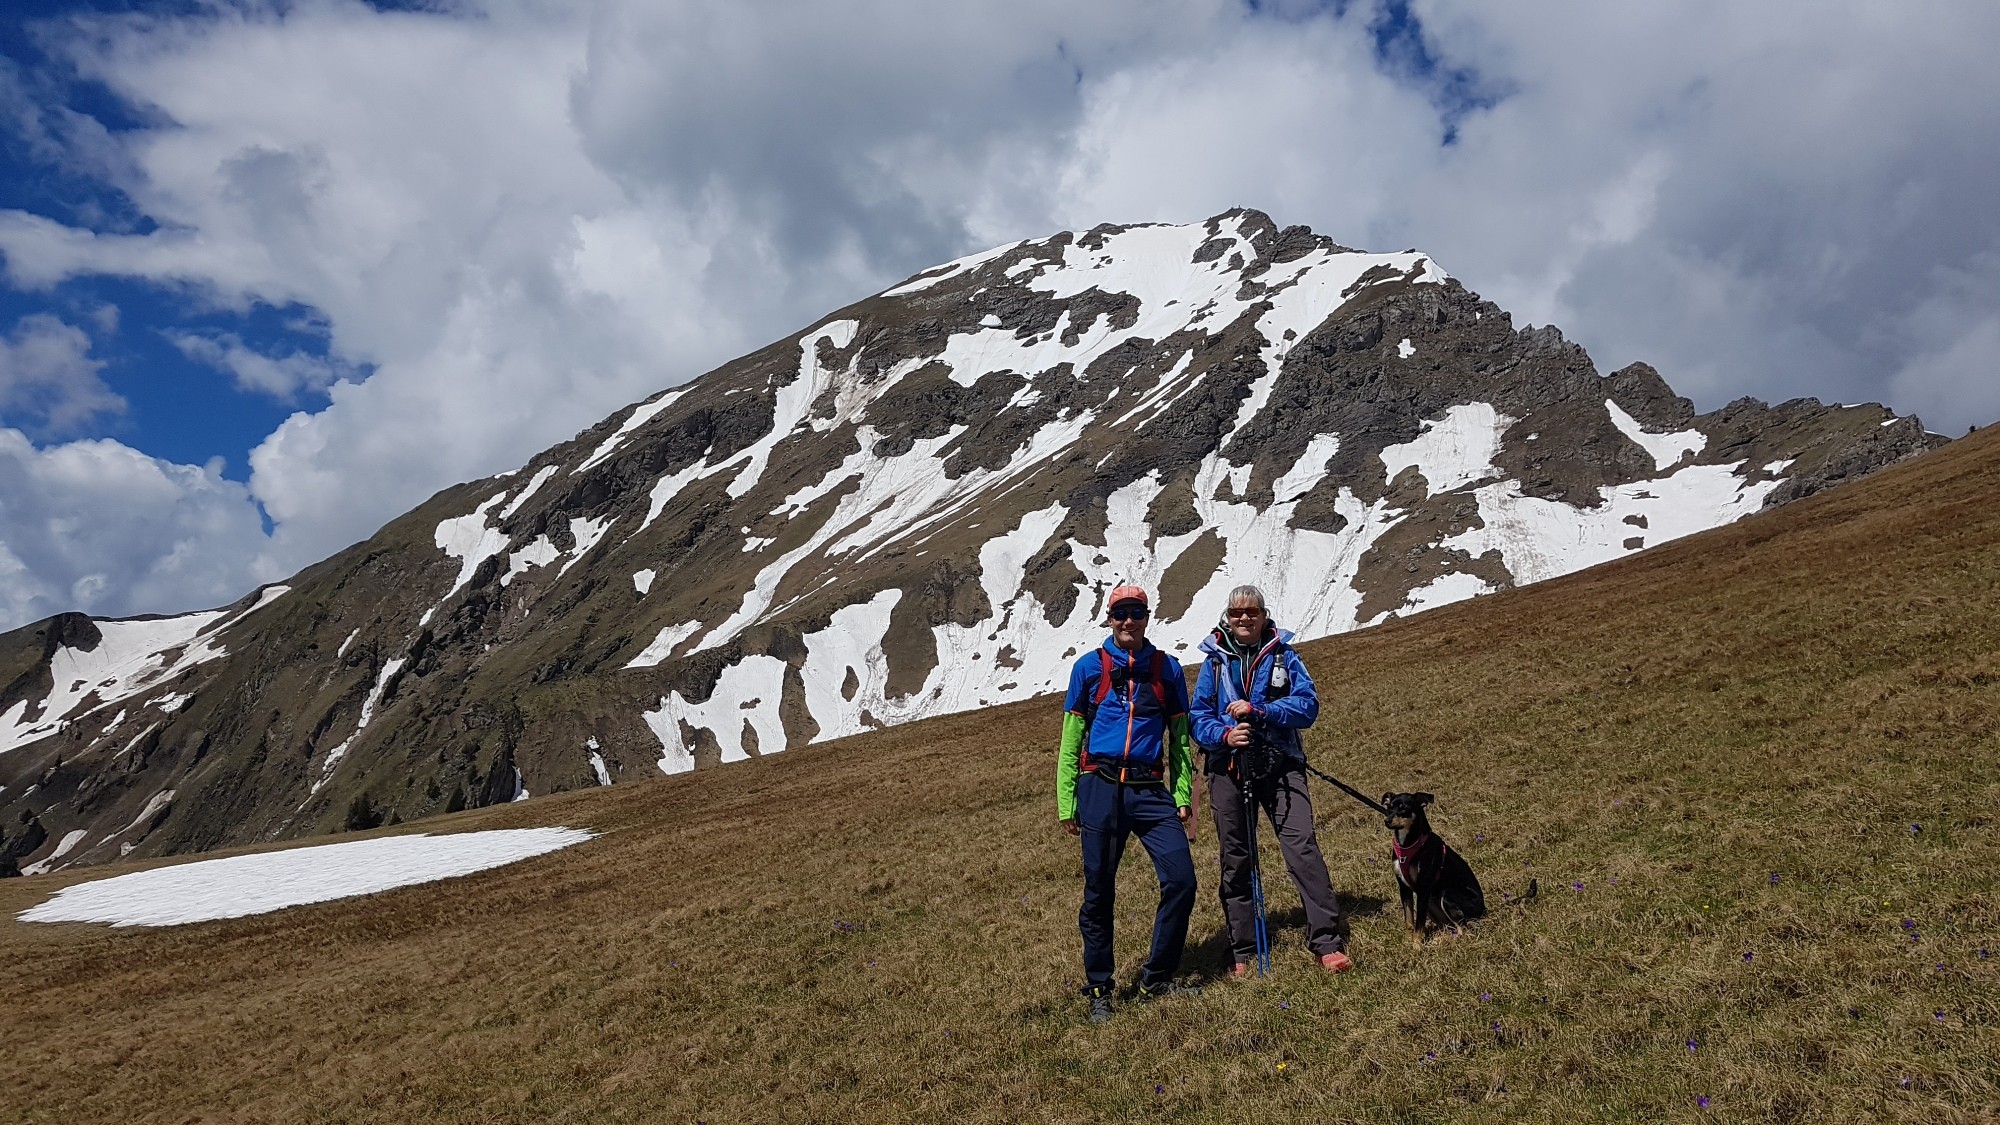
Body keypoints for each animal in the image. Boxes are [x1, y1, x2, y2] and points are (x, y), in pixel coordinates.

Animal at [1384, 792, 1504, 940]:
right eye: (1389, 807)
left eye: (1403, 808)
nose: (1387, 821)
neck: (1408, 844)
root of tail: (1484, 910)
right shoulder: (1404, 887)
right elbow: (1409, 921)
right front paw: (1407, 942)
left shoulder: (1423, 888)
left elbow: (1419, 925)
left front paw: (1416, 945)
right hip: (1431, 901)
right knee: (1449, 925)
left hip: (1447, 895)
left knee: (1463, 929)